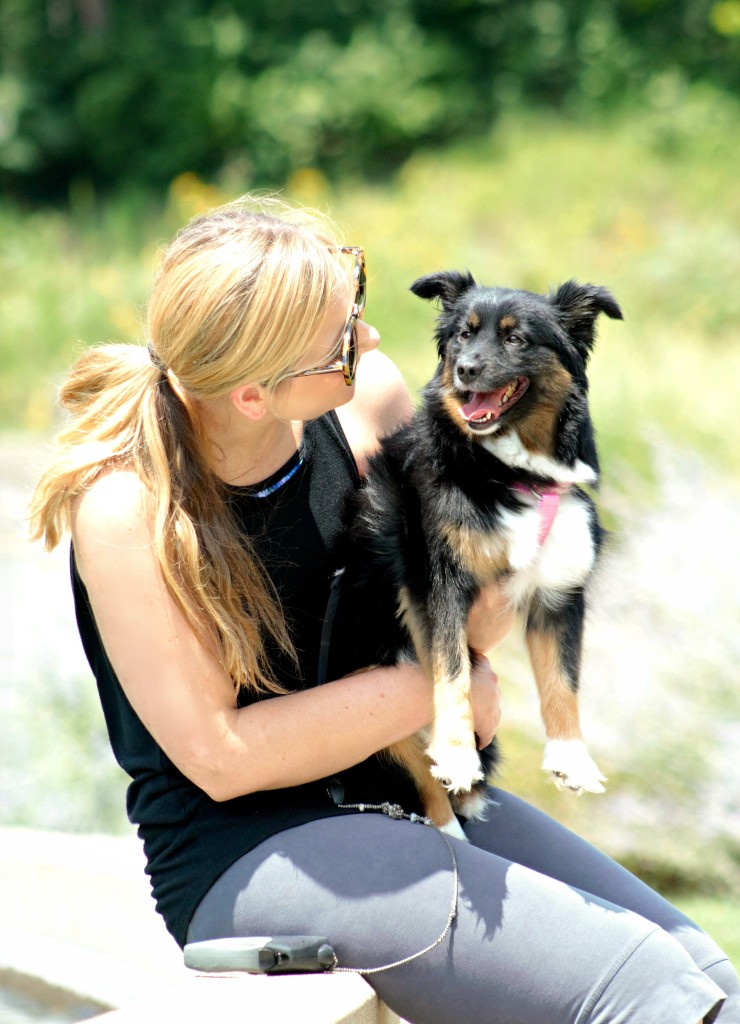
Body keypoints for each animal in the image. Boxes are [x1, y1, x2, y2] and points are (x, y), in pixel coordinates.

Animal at [335, 272, 618, 839]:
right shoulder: (436, 583)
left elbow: (563, 680)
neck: (511, 472)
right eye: (462, 336)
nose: (465, 370)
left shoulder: (559, 591)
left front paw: (570, 758)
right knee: (423, 783)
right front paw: (458, 753)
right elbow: (453, 673)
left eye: (516, 338)